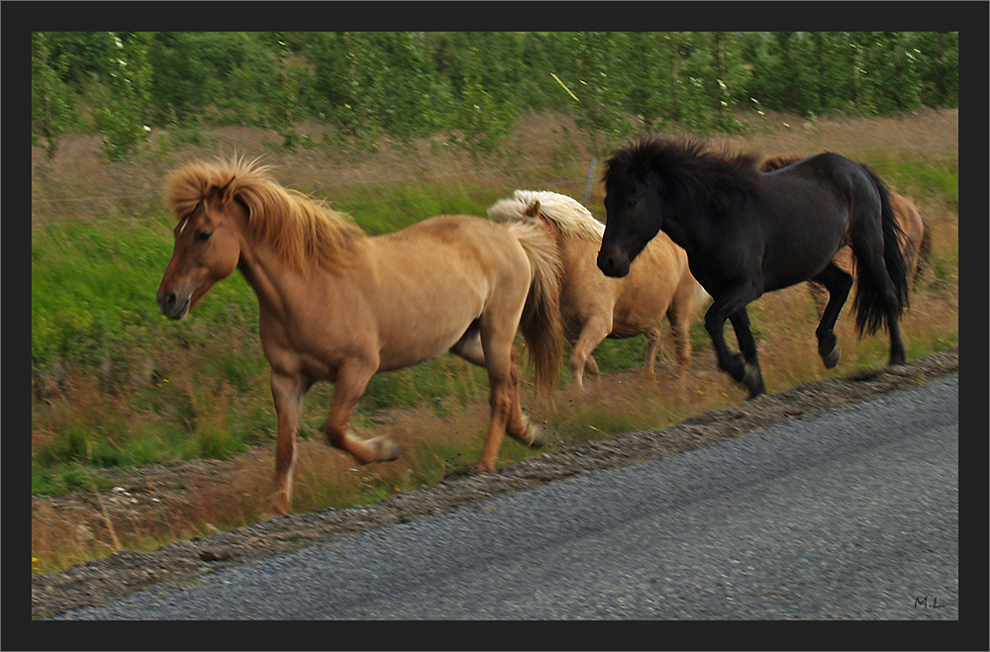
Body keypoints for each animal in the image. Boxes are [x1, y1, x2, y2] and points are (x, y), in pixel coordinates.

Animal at [160, 158, 568, 516]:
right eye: (178, 231)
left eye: (203, 234)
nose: (167, 299)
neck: (309, 288)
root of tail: (509, 236)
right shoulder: (286, 379)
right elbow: (285, 448)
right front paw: (276, 511)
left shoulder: (357, 369)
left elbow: (334, 430)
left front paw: (385, 449)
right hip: (466, 340)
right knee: (511, 370)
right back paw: (528, 432)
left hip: (495, 331)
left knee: (499, 392)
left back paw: (484, 465)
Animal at [488, 191, 696, 390]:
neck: (578, 263)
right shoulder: (570, 328)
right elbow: (590, 366)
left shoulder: (598, 322)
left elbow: (577, 360)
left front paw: (579, 396)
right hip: (646, 312)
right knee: (655, 336)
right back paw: (646, 378)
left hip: (680, 306)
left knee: (683, 351)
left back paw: (679, 391)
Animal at [600, 139, 912, 398]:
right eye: (607, 201)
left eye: (631, 201)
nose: (607, 262)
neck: (716, 219)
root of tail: (856, 168)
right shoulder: (723, 290)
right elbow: (746, 339)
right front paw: (756, 389)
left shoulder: (747, 286)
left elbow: (714, 320)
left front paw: (741, 373)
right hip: (812, 262)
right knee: (842, 283)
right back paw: (828, 349)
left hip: (868, 245)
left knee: (887, 293)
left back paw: (897, 358)